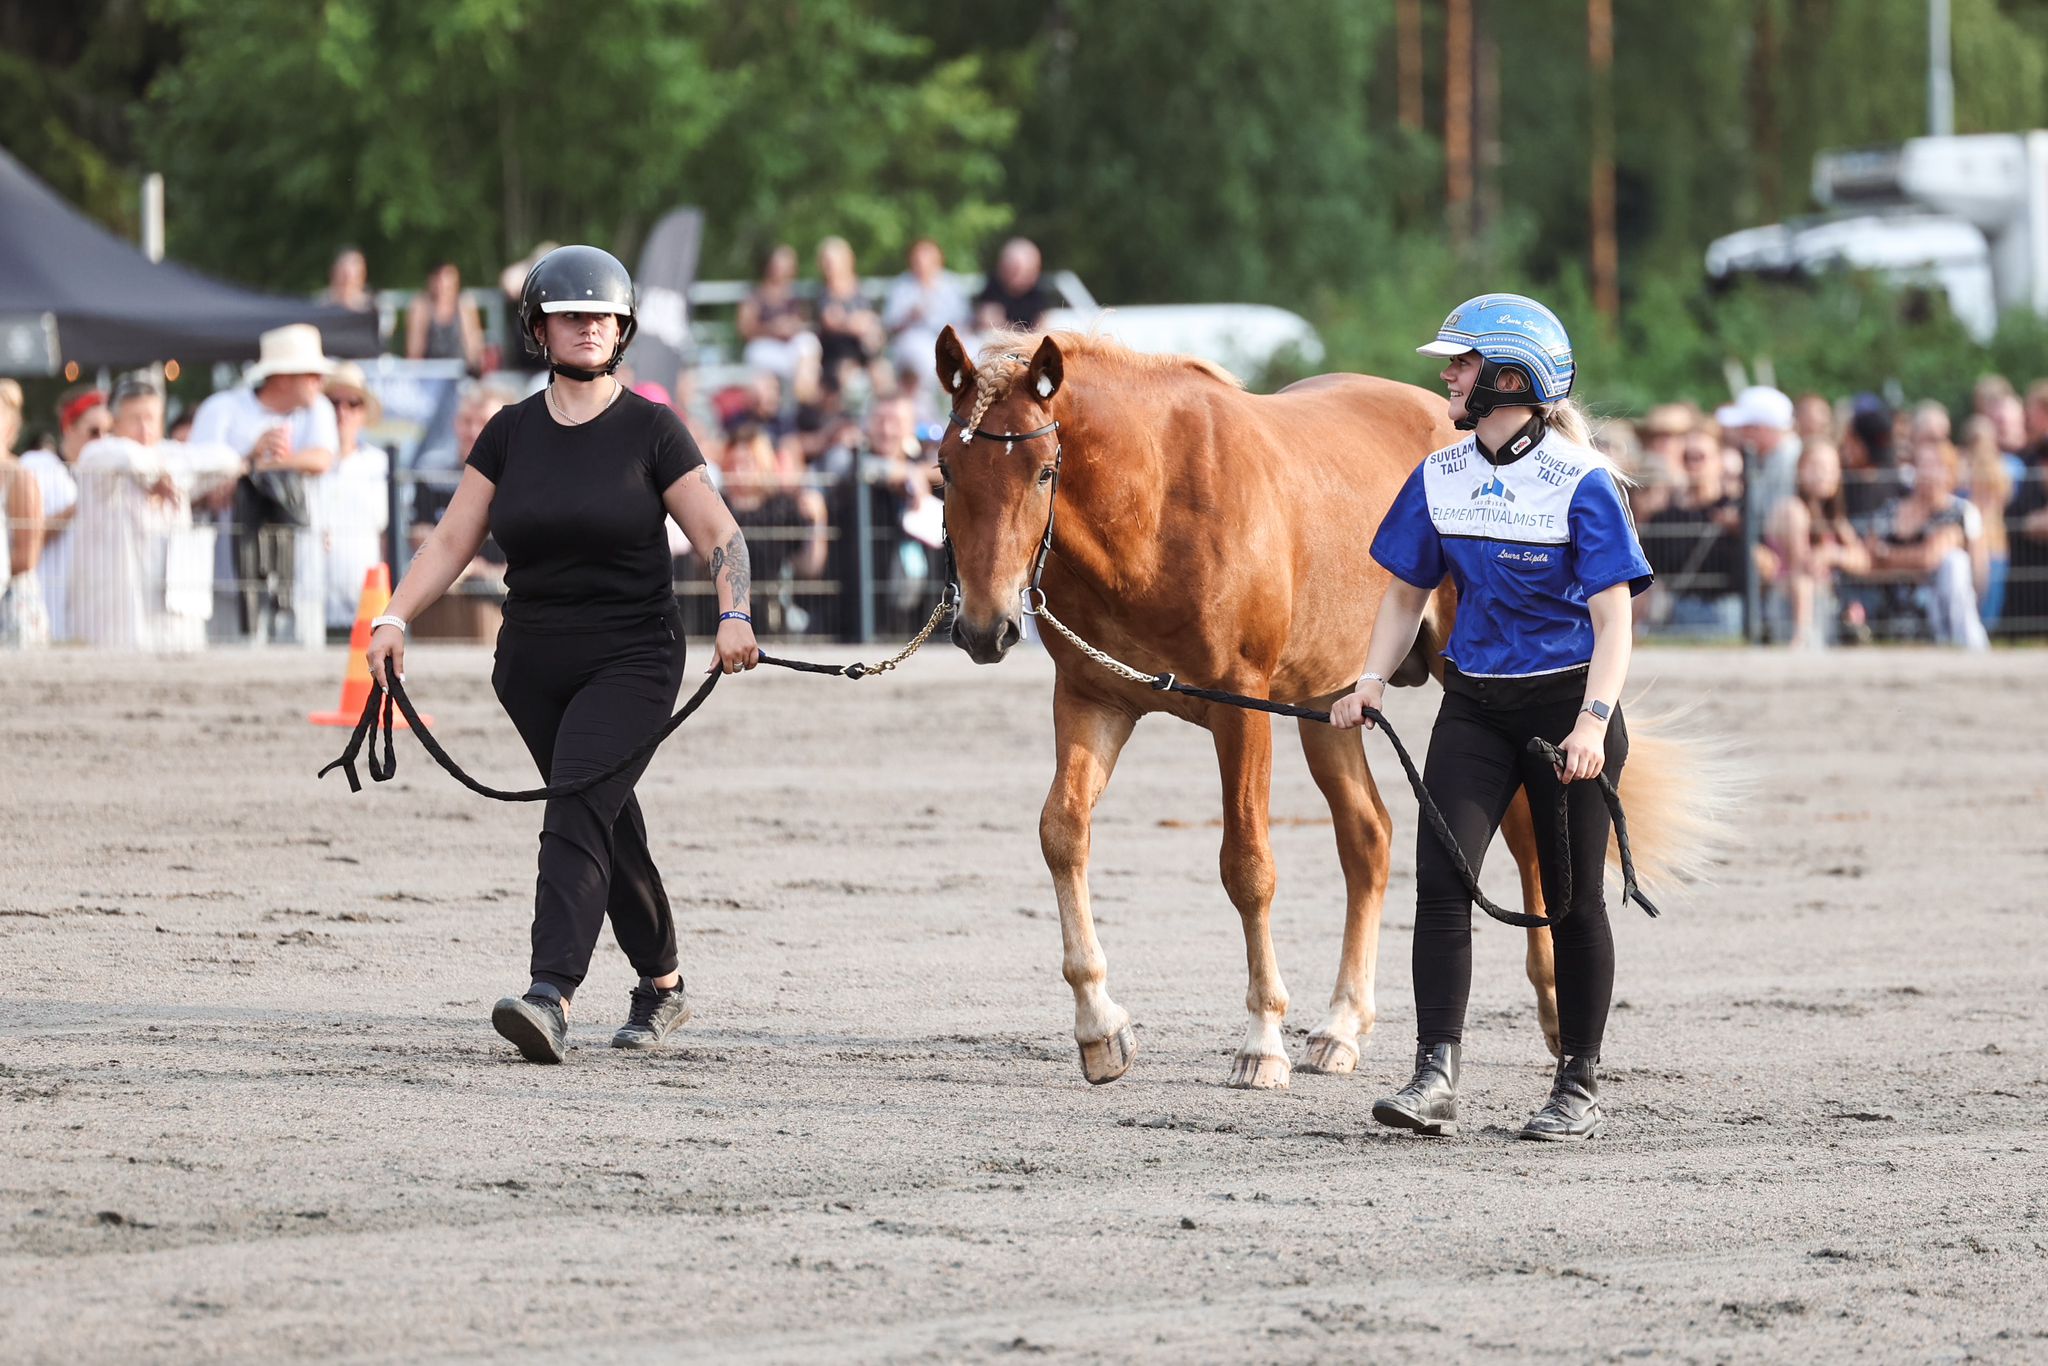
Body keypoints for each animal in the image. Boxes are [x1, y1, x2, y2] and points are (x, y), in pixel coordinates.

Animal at [933, 327, 1564, 1089]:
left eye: (1045, 471)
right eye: (944, 468)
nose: (983, 627)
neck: (1155, 507)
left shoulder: (1243, 708)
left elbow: (1247, 866)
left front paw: (1262, 1040)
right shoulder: (1091, 700)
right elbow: (1062, 833)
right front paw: (1099, 1027)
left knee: (1524, 834)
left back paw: (1555, 1007)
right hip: (1333, 705)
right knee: (1369, 838)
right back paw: (1341, 1025)